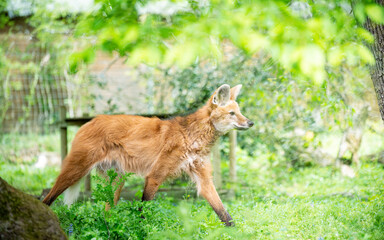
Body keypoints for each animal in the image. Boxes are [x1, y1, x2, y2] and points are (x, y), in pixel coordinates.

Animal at [42, 83, 252, 226]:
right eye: (232, 113)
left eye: (240, 112)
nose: (251, 123)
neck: (192, 136)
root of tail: (88, 122)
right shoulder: (154, 176)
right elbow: (144, 209)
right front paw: (142, 229)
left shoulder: (203, 178)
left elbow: (223, 212)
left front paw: (237, 232)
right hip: (76, 170)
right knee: (46, 198)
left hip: (117, 180)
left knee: (107, 210)